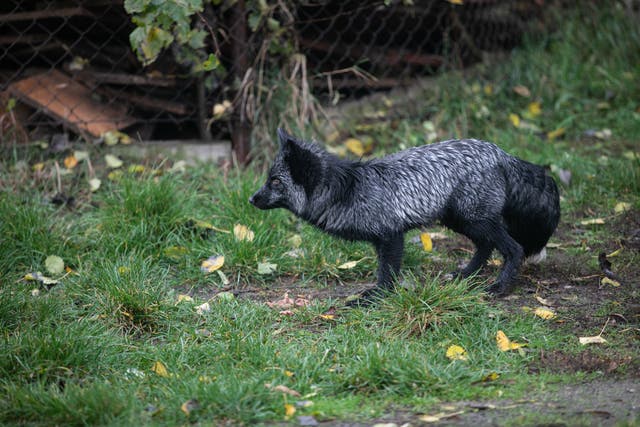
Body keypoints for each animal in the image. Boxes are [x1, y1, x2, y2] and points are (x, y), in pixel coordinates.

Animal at [250, 130, 560, 300]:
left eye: (275, 182)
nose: (251, 199)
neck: (347, 189)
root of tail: (500, 152)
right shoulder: (383, 240)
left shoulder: (391, 235)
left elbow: (387, 274)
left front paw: (375, 299)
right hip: (461, 220)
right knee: (485, 246)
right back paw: (466, 275)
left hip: (475, 219)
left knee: (514, 248)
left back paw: (500, 287)